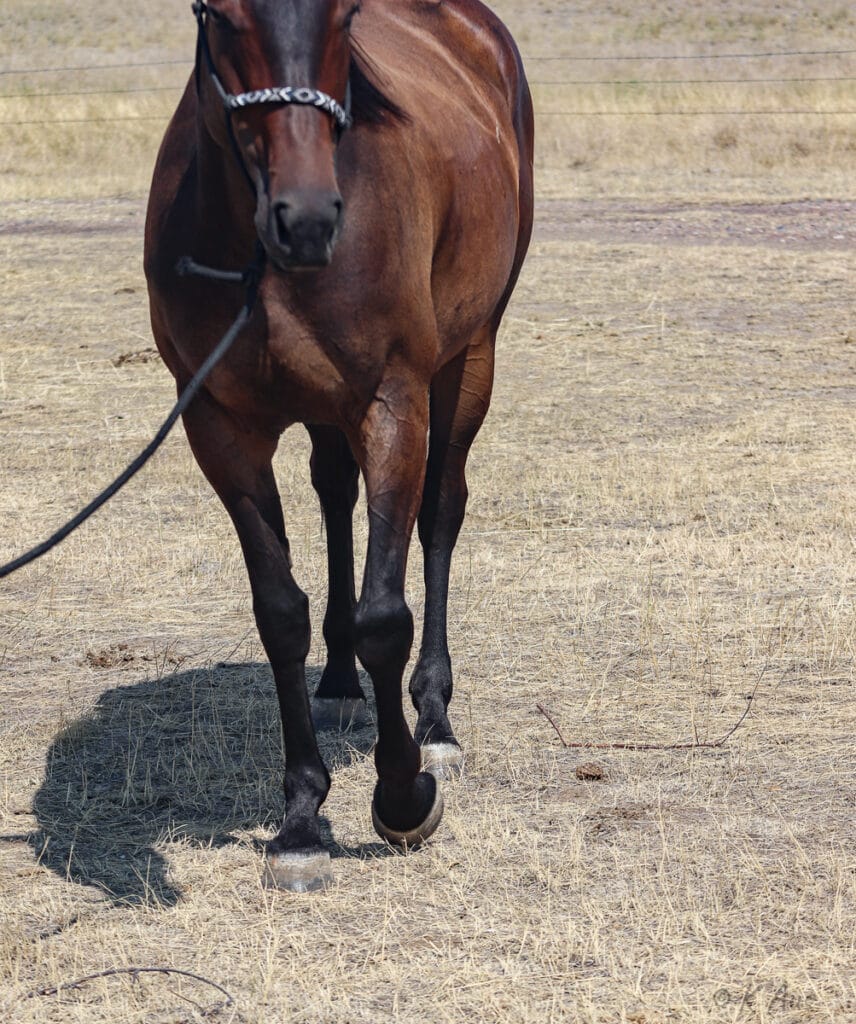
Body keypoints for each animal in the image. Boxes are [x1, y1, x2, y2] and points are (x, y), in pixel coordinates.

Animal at [147, 0, 536, 888]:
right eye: (222, 16)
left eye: (344, 15)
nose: (309, 219)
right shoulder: (218, 425)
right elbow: (279, 611)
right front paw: (299, 817)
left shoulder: (394, 403)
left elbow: (385, 614)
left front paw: (403, 795)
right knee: (333, 494)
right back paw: (336, 679)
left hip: (472, 357)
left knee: (439, 515)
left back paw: (434, 721)